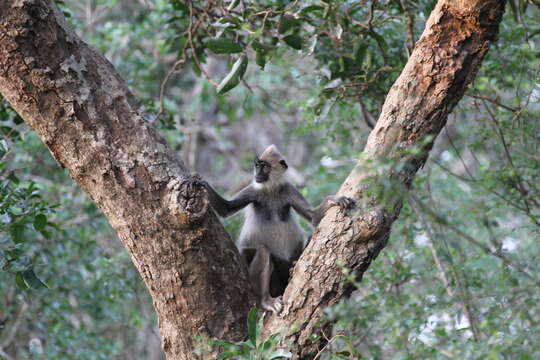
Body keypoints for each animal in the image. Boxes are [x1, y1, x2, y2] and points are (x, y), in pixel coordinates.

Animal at [198, 145, 354, 314]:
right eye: (257, 166)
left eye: (265, 167)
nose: (258, 174)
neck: (270, 190)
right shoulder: (255, 190)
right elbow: (225, 209)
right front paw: (198, 182)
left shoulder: (287, 189)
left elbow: (314, 218)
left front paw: (334, 200)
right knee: (263, 251)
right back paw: (266, 301)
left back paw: (292, 269)